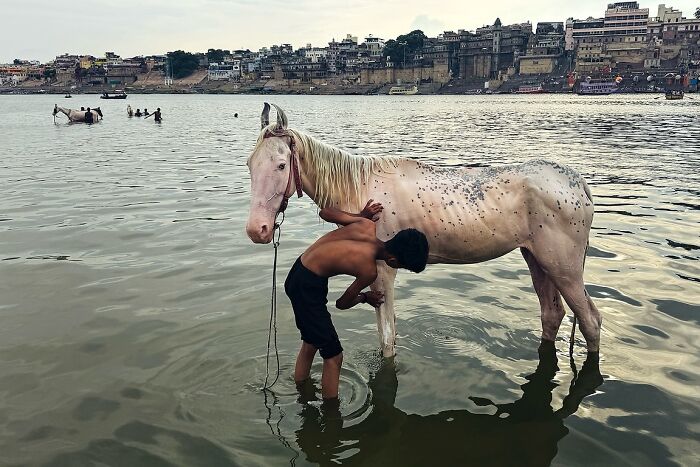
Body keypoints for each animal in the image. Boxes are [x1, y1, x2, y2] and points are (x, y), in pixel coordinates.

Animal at [246, 103, 602, 358]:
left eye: (281, 165)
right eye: (250, 165)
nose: (257, 229)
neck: (359, 186)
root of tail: (577, 183)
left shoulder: (382, 273)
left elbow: (387, 340)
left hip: (564, 268)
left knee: (590, 322)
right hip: (536, 259)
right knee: (552, 314)